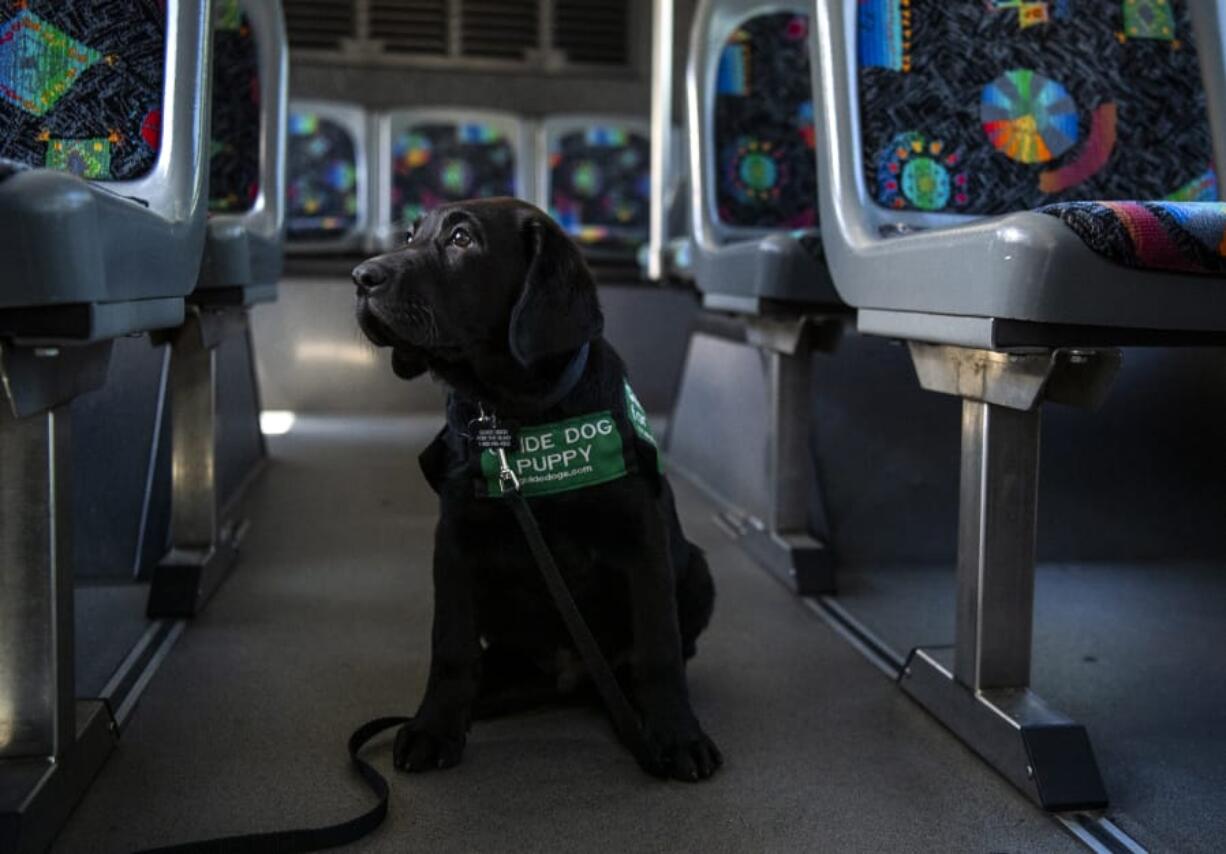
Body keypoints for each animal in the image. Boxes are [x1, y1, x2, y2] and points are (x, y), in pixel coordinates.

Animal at [350, 198, 720, 779]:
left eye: (461, 238)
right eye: (409, 235)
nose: (361, 277)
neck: (518, 415)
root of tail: (571, 677)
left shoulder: (642, 538)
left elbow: (658, 647)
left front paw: (678, 734)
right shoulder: (454, 542)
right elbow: (451, 646)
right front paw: (434, 726)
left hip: (699, 571)